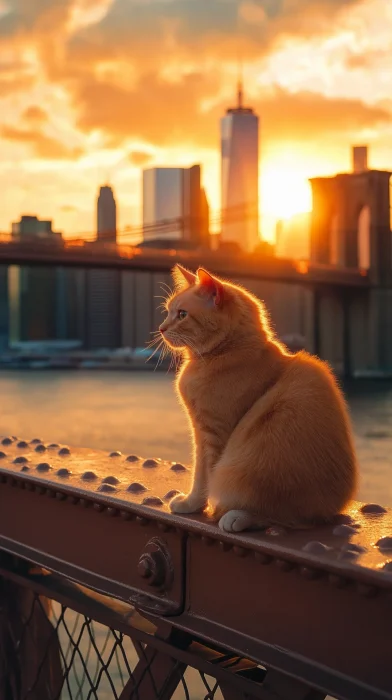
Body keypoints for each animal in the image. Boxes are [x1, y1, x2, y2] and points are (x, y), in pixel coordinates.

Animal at [159, 262, 358, 532]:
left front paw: (192, 505)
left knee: (282, 516)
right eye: (169, 312)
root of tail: (330, 511)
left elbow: (203, 477)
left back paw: (236, 517)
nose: (161, 328)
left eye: (181, 315)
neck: (226, 353)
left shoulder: (210, 434)